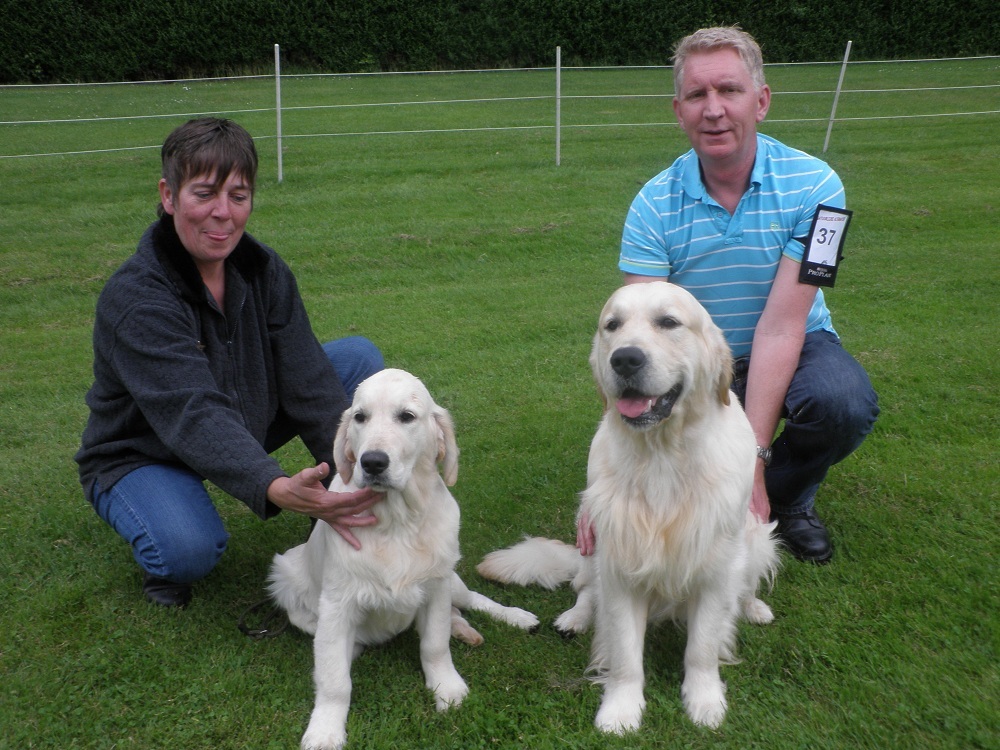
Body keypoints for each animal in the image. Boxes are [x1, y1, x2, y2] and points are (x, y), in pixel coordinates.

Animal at [268, 368, 538, 750]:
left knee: (473, 599)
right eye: (360, 417)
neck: (395, 521)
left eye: (407, 417)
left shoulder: (437, 584)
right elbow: (334, 677)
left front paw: (447, 689)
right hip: (287, 582)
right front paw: (325, 729)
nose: (372, 462)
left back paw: (515, 617)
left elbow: (435, 644)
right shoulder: (336, 605)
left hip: (451, 578)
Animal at [478, 282, 778, 733]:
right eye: (612, 326)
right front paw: (620, 709)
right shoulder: (619, 561)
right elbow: (623, 653)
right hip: (592, 540)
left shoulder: (715, 565)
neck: (662, 456)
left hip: (756, 536)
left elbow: (702, 647)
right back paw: (575, 618)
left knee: (746, 585)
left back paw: (753, 607)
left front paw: (704, 700)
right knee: (586, 590)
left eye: (668, 322)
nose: (625, 358)